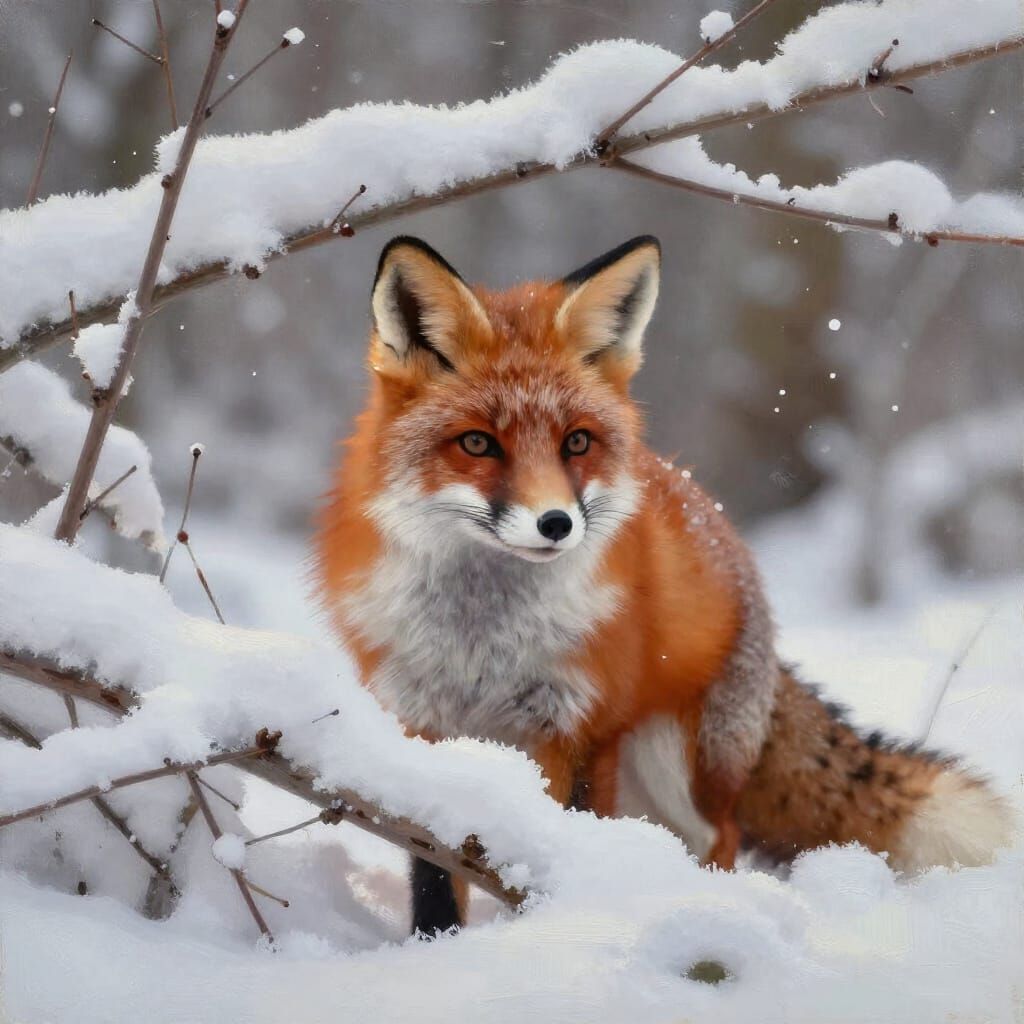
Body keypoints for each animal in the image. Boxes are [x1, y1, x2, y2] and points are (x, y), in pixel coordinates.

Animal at [315, 234, 1014, 936]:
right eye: (478, 444)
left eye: (577, 443)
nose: (556, 523)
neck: (484, 642)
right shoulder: (423, 728)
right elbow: (434, 872)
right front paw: (438, 947)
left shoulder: (581, 728)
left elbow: (566, 838)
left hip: (677, 764)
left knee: (720, 836)